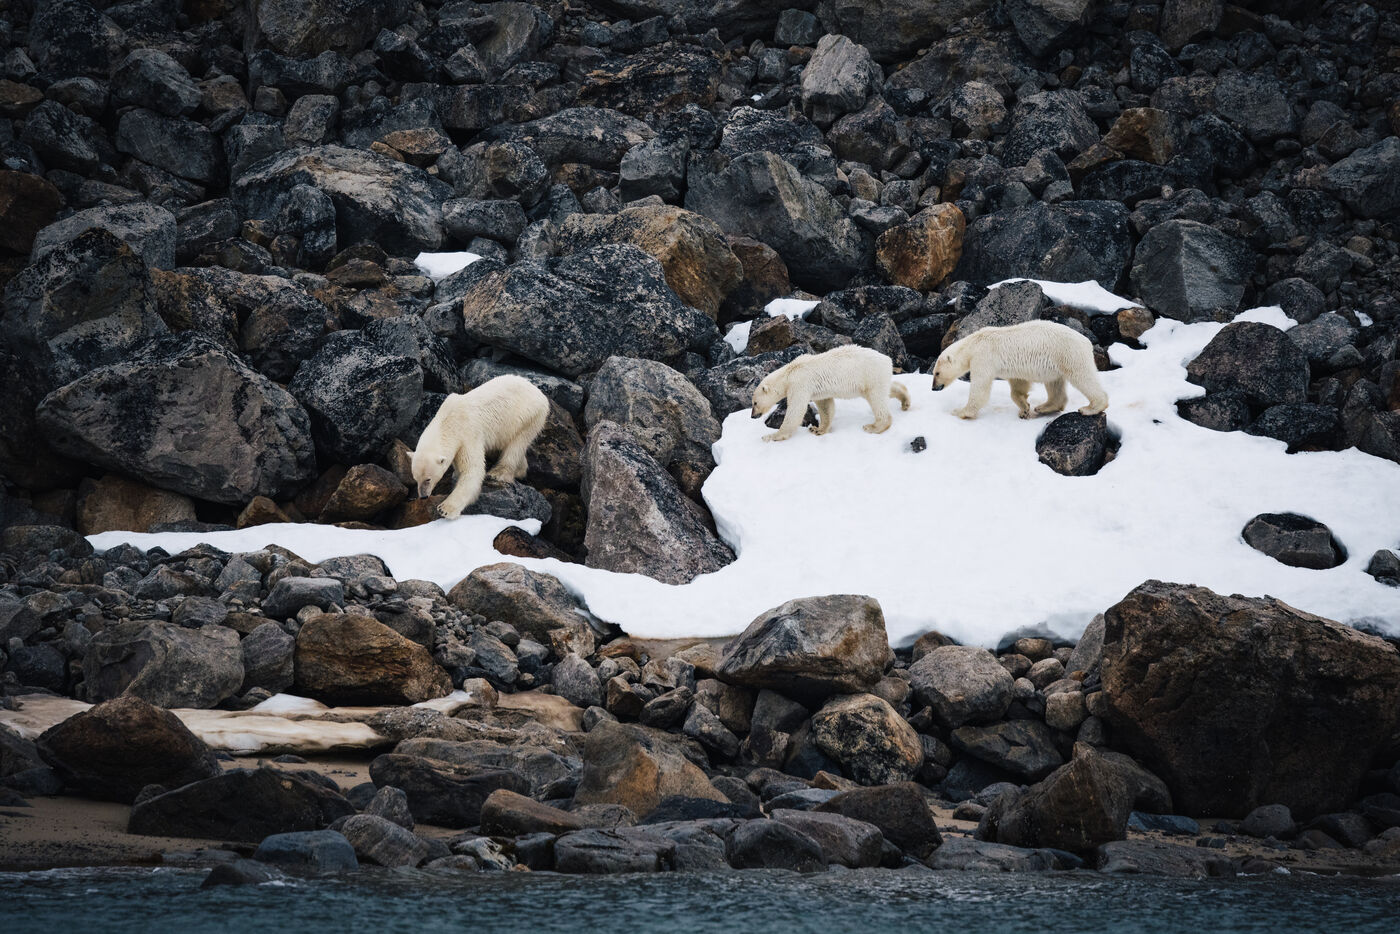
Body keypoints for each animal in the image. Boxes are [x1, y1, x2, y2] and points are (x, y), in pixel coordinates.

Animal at [410, 374, 550, 519]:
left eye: (428, 479)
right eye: (415, 478)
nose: (423, 496)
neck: (448, 421)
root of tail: (538, 392)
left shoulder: (468, 434)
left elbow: (473, 469)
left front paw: (445, 509)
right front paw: (456, 474)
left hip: (528, 416)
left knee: (516, 445)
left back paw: (497, 473)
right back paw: (520, 470)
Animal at [751, 345, 911, 442]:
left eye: (755, 403)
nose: (752, 416)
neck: (790, 372)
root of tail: (887, 360)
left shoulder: (800, 384)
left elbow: (796, 410)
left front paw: (771, 436)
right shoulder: (818, 390)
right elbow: (825, 405)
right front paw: (817, 429)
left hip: (870, 375)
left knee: (877, 399)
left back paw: (873, 426)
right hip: (876, 377)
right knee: (887, 390)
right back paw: (905, 401)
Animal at [931, 319, 1109, 420]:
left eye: (937, 373)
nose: (933, 388)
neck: (973, 343)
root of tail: (1086, 341)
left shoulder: (983, 357)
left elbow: (980, 389)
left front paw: (960, 411)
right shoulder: (1014, 370)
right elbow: (1018, 385)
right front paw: (1024, 408)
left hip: (1069, 354)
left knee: (1083, 377)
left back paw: (1090, 408)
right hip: (1057, 362)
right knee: (1054, 384)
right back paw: (1044, 406)